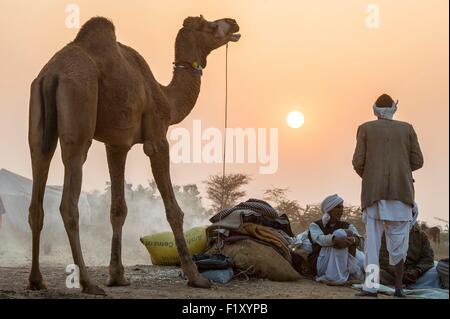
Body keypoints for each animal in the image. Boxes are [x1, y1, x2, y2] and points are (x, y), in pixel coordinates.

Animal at [27, 15, 239, 296]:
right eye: (208, 25)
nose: (233, 22)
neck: (166, 98)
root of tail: (52, 73)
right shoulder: (157, 140)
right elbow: (173, 211)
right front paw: (196, 277)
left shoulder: (116, 145)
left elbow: (118, 209)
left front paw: (117, 276)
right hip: (79, 111)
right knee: (69, 201)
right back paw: (88, 283)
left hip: (38, 126)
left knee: (37, 190)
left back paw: (36, 280)